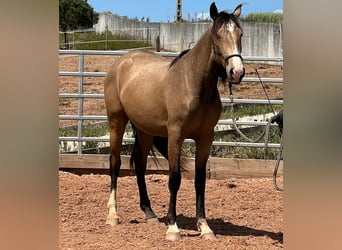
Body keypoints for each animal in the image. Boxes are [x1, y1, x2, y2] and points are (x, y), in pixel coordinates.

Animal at [103, 1, 244, 240]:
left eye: (240, 34)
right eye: (217, 36)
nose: (237, 72)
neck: (194, 84)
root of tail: (120, 63)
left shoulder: (205, 138)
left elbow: (200, 180)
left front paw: (204, 227)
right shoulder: (175, 136)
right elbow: (174, 178)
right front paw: (173, 227)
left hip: (145, 130)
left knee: (140, 164)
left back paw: (149, 213)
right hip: (116, 121)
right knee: (115, 163)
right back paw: (113, 215)